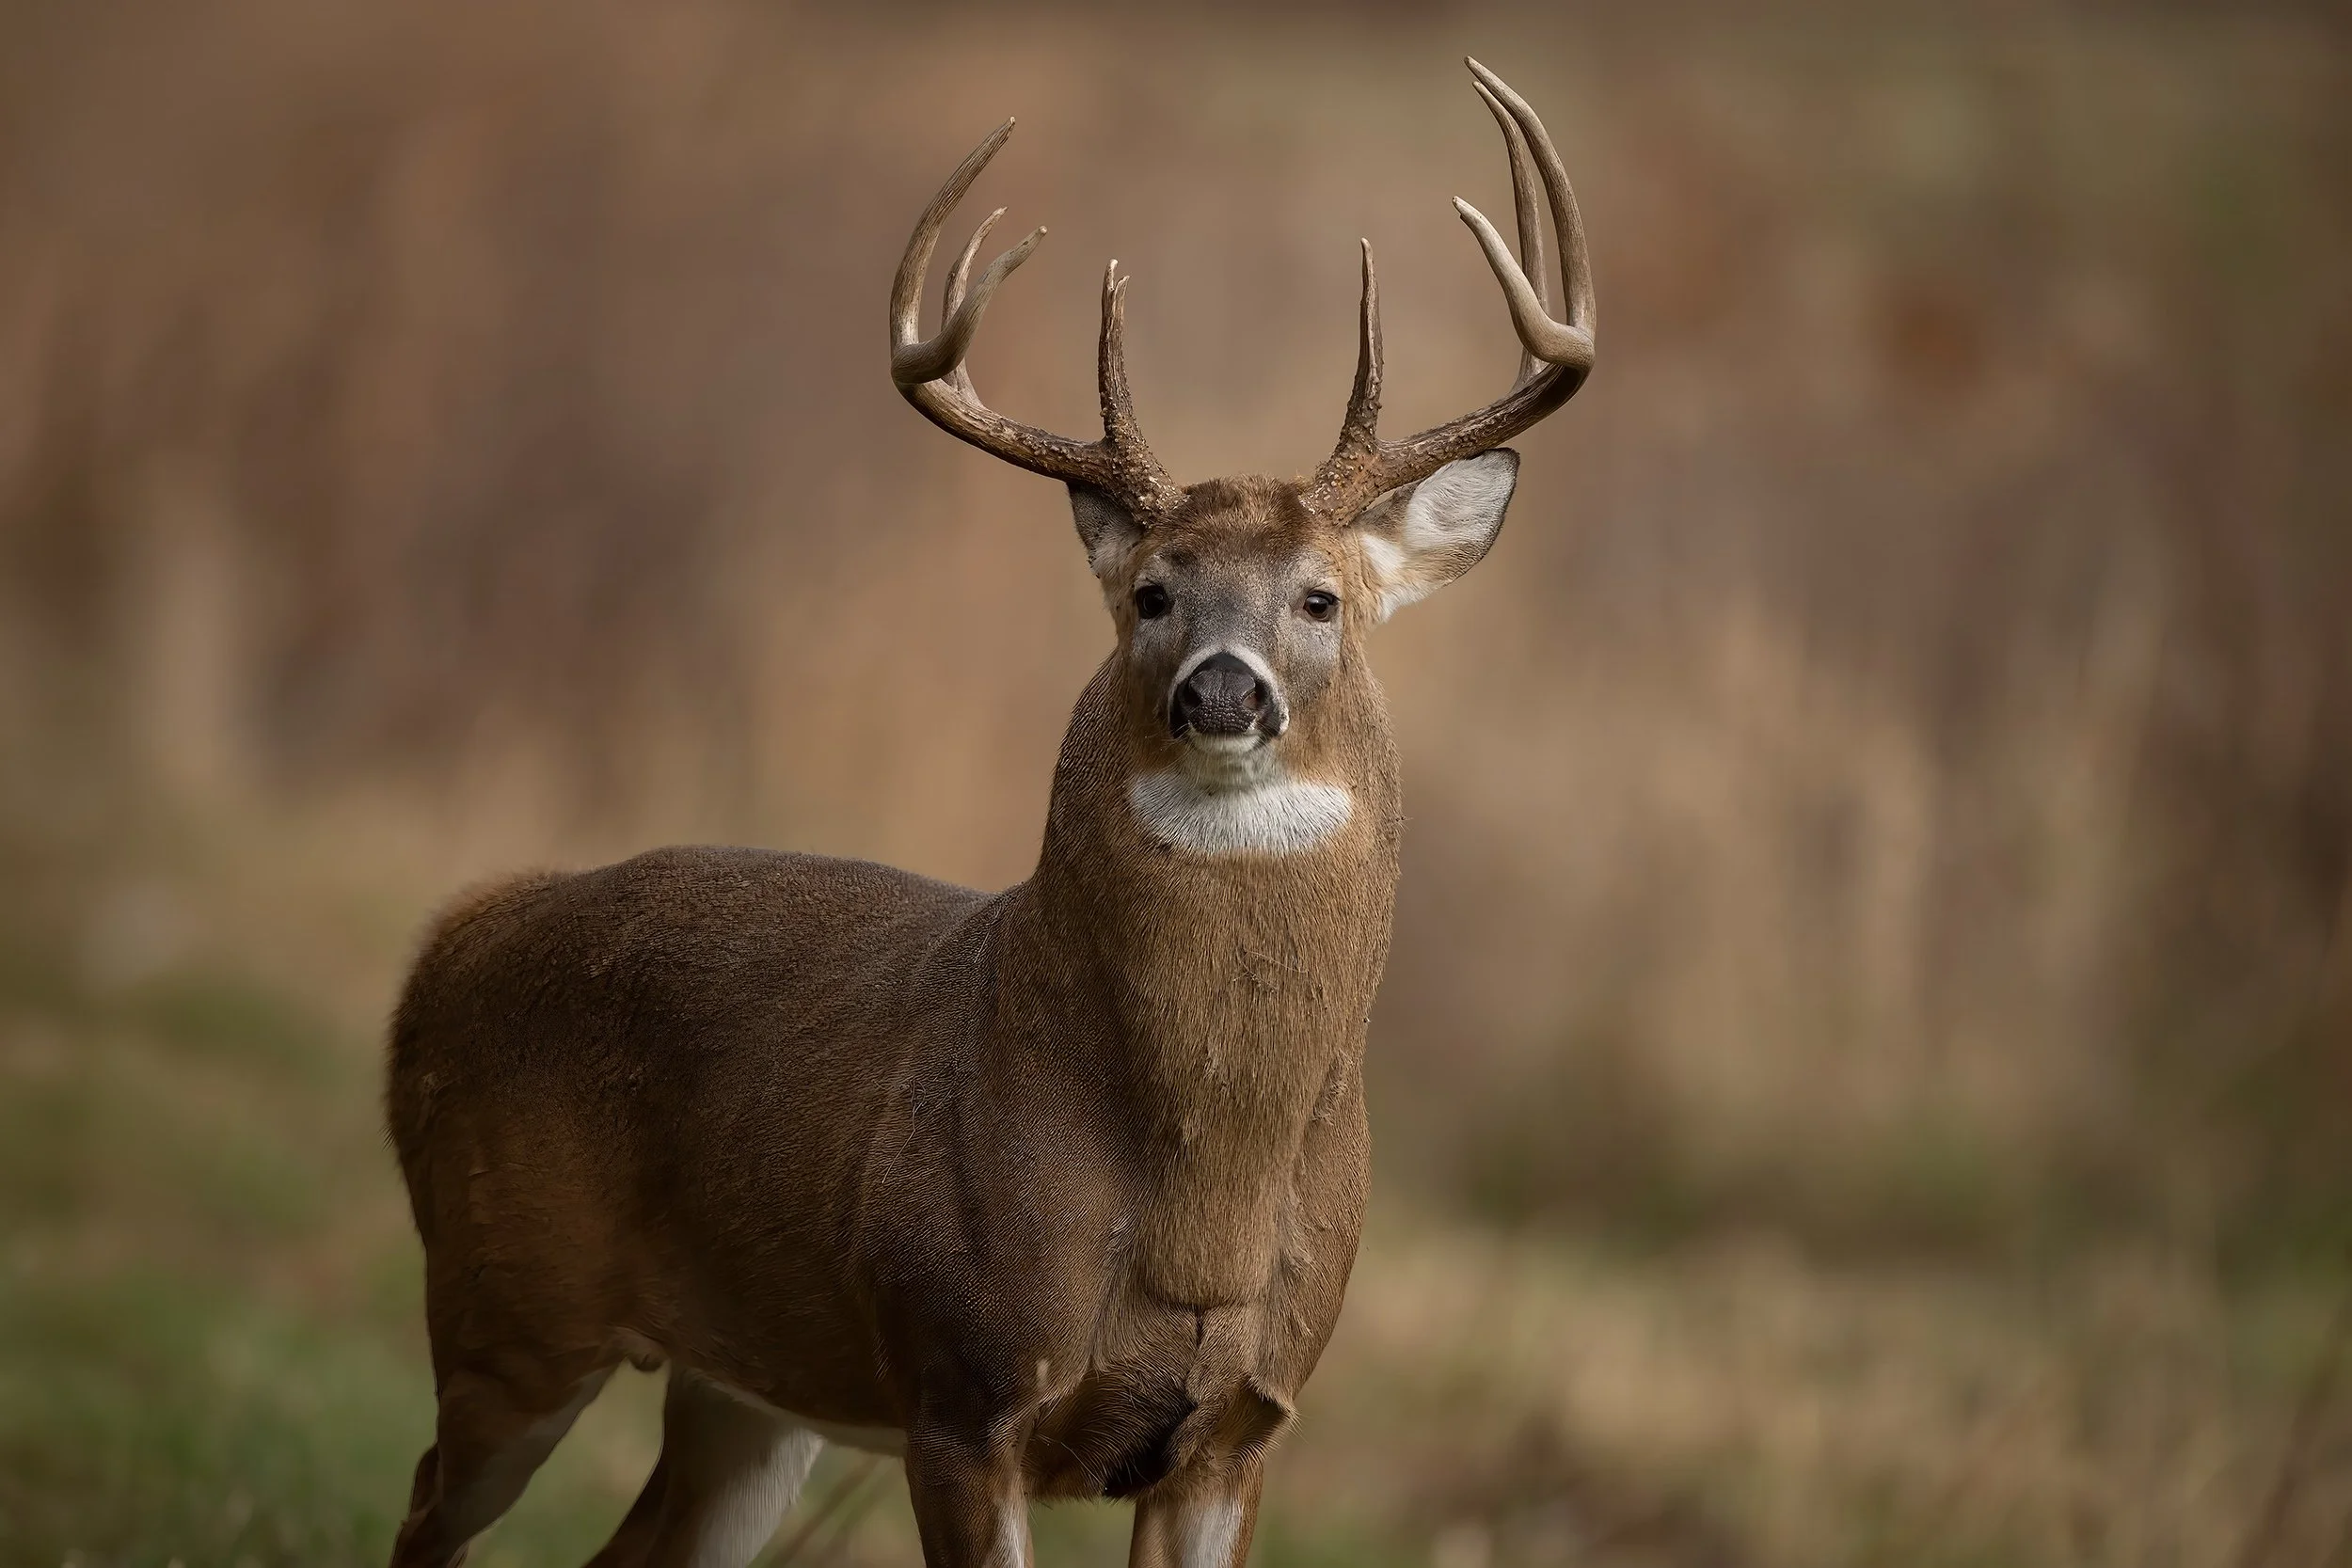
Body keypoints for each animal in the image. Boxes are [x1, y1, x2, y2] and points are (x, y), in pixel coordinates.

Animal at [384, 57, 1594, 1568]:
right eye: (1152, 590)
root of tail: (450, 942)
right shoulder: (963, 1381)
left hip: (744, 1387)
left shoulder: (1243, 1425)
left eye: (1320, 597)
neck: (1204, 1199)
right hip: (507, 1296)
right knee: (428, 1505)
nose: (1221, 687)